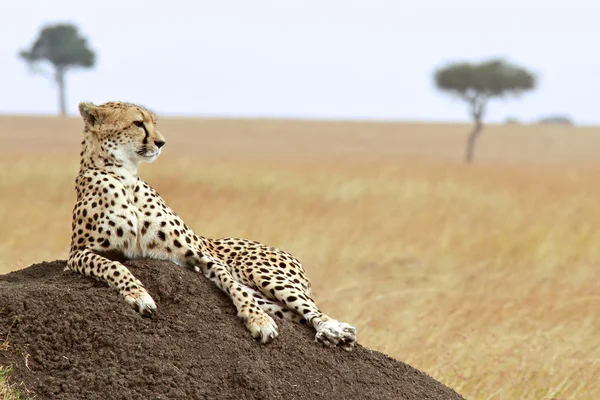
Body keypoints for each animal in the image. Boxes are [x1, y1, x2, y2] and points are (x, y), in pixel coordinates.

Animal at [68, 101, 356, 350]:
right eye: (138, 123)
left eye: (153, 122)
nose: (161, 142)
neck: (123, 176)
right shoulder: (77, 254)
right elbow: (113, 265)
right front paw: (140, 296)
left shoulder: (200, 255)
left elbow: (231, 284)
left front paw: (258, 321)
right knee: (292, 312)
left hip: (261, 273)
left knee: (311, 309)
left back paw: (333, 329)